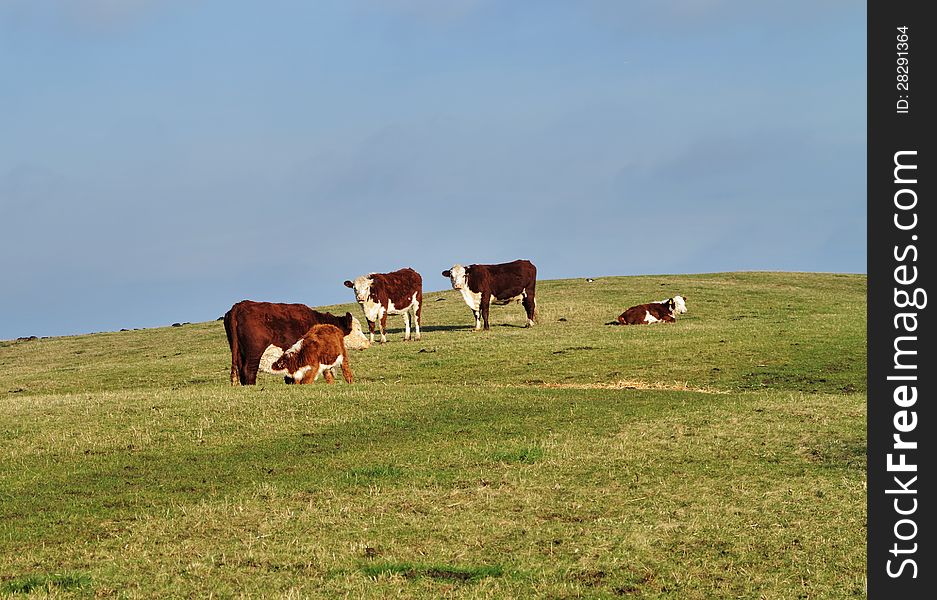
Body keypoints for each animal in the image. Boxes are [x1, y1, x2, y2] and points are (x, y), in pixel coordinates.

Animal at [224, 298, 370, 386]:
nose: (368, 343)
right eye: (358, 329)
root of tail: (239, 305)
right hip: (254, 352)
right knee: (249, 370)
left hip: (238, 352)